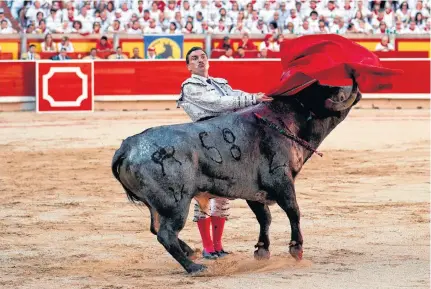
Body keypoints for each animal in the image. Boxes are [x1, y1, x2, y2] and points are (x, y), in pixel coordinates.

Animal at [110, 80, 362, 272]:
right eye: (338, 93)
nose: (356, 89)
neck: (288, 119)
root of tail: (128, 146)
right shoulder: (281, 180)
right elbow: (293, 211)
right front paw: (296, 249)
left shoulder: (253, 191)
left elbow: (264, 218)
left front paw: (262, 250)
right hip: (175, 203)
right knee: (165, 234)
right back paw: (195, 268)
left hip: (156, 204)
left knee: (156, 228)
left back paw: (190, 252)